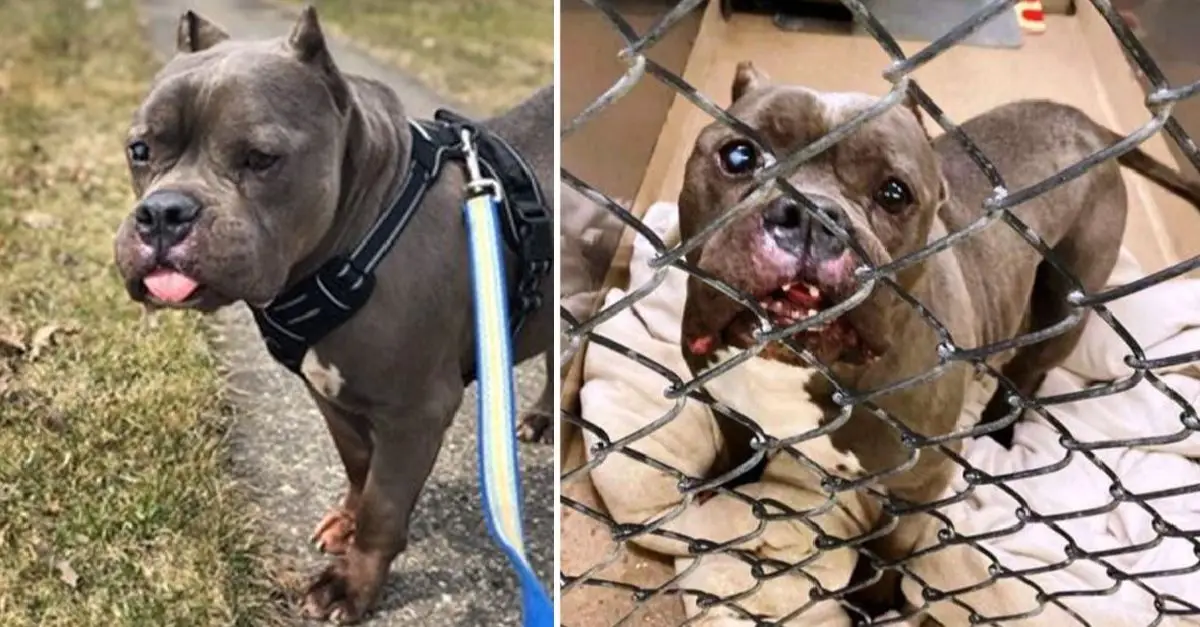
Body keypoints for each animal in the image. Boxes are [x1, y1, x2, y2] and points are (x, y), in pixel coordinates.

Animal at [112, 8, 552, 619]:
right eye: (140, 150)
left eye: (261, 159)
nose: (162, 213)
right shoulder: (329, 394)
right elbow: (358, 465)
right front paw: (347, 521)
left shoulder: (416, 412)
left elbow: (384, 508)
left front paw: (352, 585)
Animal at [681, 60, 1195, 607]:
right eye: (739, 155)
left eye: (894, 193)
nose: (811, 216)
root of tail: (1088, 123)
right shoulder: (724, 402)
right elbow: (738, 447)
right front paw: (722, 483)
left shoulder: (918, 484)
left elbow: (889, 547)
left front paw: (872, 601)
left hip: (1066, 303)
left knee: (1031, 369)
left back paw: (1000, 425)